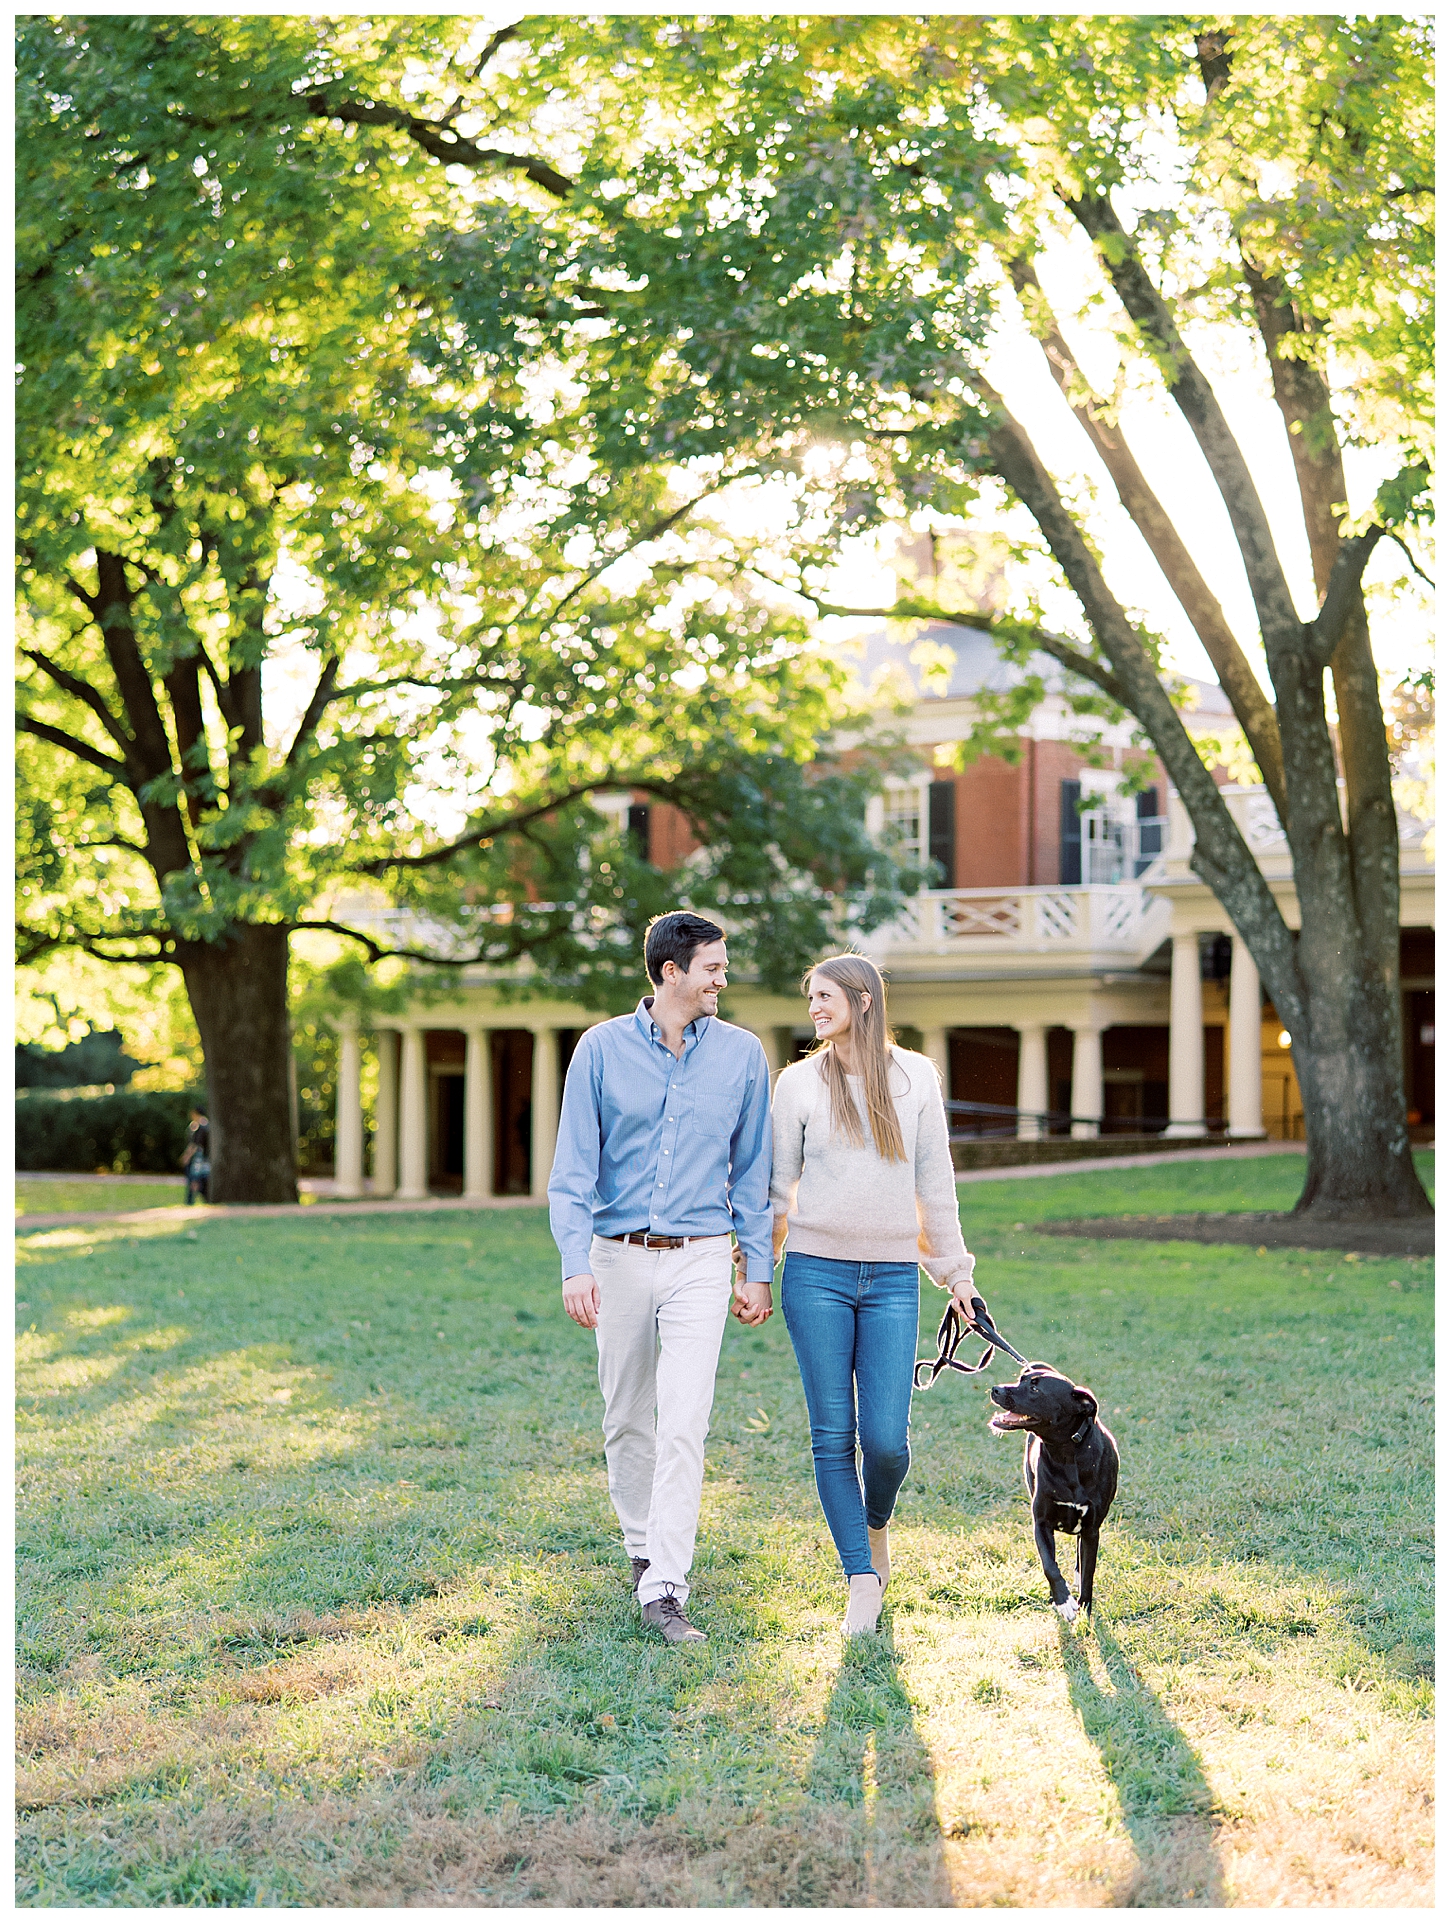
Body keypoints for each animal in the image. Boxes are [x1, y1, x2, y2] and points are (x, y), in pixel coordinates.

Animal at [992, 1369, 1115, 1623]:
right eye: (1021, 1380)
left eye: (1035, 1389)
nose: (995, 1389)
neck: (1065, 1453)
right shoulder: (1041, 1524)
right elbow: (1050, 1566)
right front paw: (1063, 1601)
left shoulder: (1092, 1528)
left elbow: (1088, 1571)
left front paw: (1084, 1608)